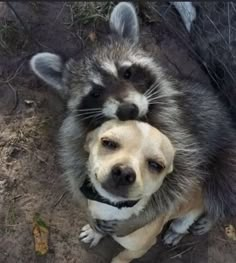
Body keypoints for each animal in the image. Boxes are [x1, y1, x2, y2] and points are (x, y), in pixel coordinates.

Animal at [30, 1, 236, 245]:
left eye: (127, 73)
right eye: (95, 93)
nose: (128, 110)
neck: (136, 128)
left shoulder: (178, 128)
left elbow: (177, 182)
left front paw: (138, 220)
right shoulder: (77, 132)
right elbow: (77, 166)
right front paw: (92, 218)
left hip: (226, 156)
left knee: (220, 189)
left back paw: (207, 217)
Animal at [79, 120, 203, 263]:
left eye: (156, 165)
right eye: (108, 143)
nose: (124, 172)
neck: (112, 207)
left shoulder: (139, 249)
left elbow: (122, 257)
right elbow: (98, 227)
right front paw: (94, 233)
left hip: (187, 218)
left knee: (182, 228)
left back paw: (174, 235)